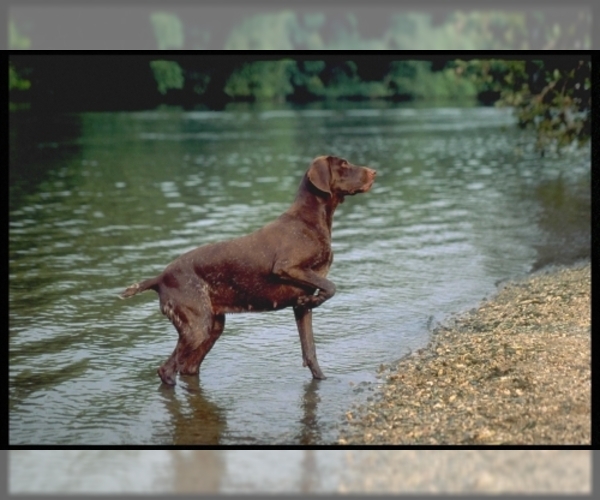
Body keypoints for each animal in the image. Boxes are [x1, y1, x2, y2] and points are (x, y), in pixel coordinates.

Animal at [120, 156, 378, 386]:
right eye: (344, 164)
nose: (374, 172)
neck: (310, 220)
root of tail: (159, 278)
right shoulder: (287, 267)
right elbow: (331, 287)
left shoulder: (300, 308)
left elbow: (310, 351)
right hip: (196, 329)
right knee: (167, 370)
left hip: (212, 327)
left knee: (188, 368)